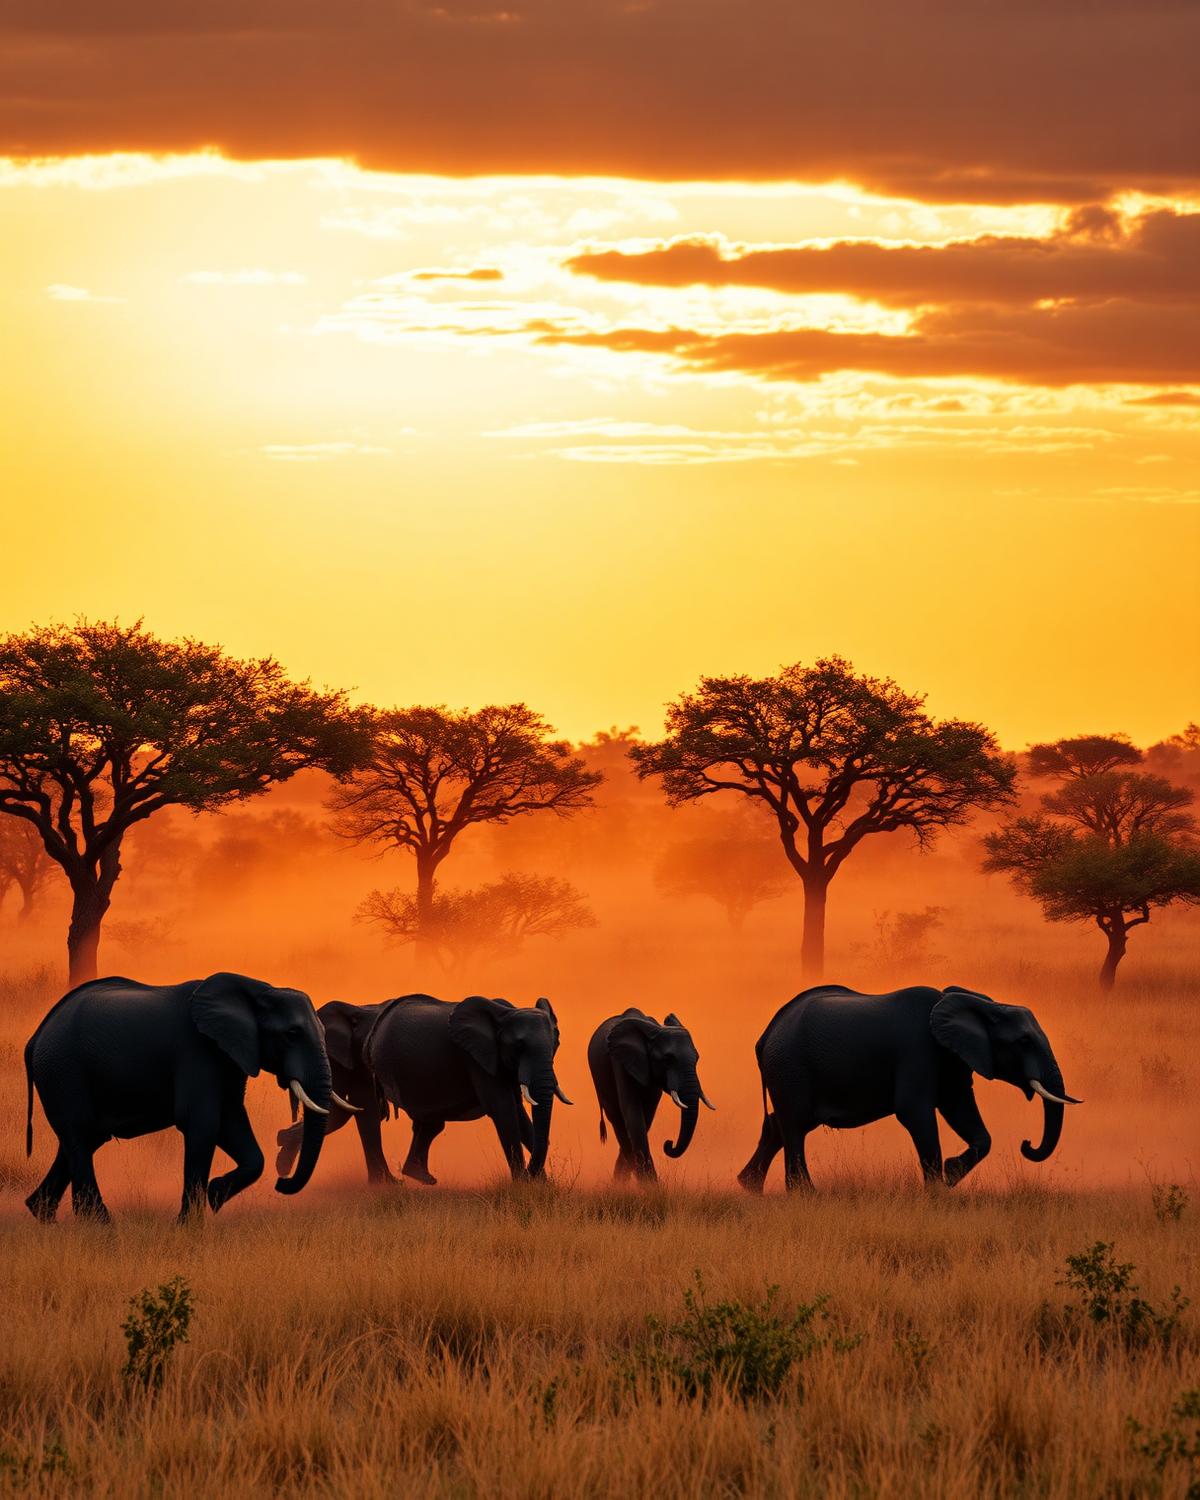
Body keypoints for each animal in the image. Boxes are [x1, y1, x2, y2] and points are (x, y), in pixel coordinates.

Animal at [23, 971, 350, 1221]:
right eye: (292, 1033)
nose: (282, 1182)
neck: (257, 990)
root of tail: (36, 1036)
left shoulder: (229, 1057)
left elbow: (232, 1122)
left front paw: (216, 1195)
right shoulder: (197, 1051)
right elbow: (202, 1125)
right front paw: (189, 1227)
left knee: (82, 1141)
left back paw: (43, 1214)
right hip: (63, 1071)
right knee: (79, 1137)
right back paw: (100, 1226)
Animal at [364, 993, 571, 1183]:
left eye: (556, 1042)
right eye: (518, 1046)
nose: (531, 1173)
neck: (505, 1014)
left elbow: (519, 1112)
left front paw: (542, 1185)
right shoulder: (476, 1059)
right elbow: (504, 1110)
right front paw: (523, 1183)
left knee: (430, 1124)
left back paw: (419, 1176)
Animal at [587, 1008, 715, 1180]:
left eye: (697, 1058)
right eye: (667, 1059)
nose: (668, 1144)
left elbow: (646, 1115)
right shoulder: (621, 1062)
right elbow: (633, 1112)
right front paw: (649, 1183)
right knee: (616, 1118)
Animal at [737, 983, 1080, 1192]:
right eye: (1023, 1041)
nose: (1026, 1144)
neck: (979, 1003)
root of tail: (766, 1034)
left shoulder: (953, 1058)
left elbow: (961, 1109)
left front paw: (950, 1175)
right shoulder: (918, 1051)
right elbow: (915, 1113)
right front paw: (937, 1191)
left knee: (779, 1126)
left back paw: (749, 1186)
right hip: (789, 1066)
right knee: (794, 1127)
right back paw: (805, 1194)